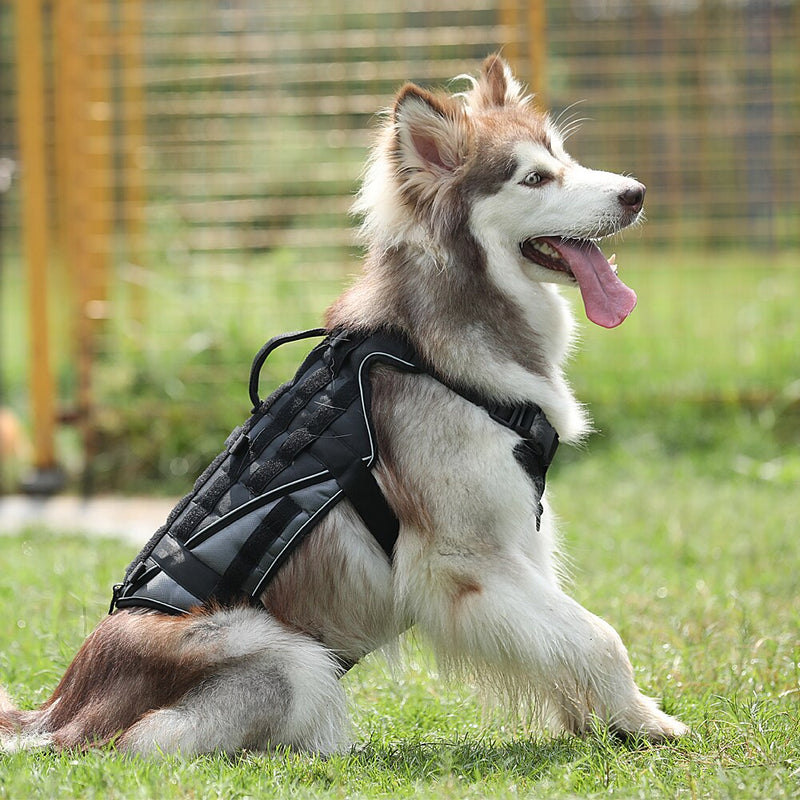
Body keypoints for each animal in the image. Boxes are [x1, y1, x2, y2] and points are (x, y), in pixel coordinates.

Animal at [0, 56, 688, 756]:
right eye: (534, 178)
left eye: (565, 160)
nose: (636, 193)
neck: (439, 352)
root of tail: (62, 711)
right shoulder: (463, 560)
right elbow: (600, 637)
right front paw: (647, 722)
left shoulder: (518, 540)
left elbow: (564, 639)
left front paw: (600, 723)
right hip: (285, 655)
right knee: (139, 746)